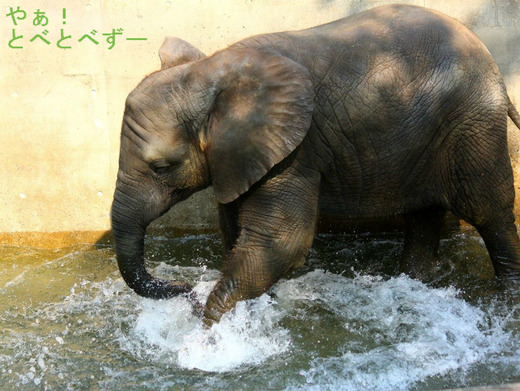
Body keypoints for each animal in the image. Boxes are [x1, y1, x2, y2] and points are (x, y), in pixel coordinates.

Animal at [111, 4, 520, 326]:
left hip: (472, 122)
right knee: (423, 215)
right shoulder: (238, 155)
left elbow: (281, 242)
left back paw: (506, 301)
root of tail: (490, 59)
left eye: (161, 167)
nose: (184, 289)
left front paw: (208, 335)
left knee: (488, 211)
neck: (213, 68)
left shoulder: (295, 150)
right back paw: (411, 284)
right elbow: (234, 229)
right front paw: (252, 312)